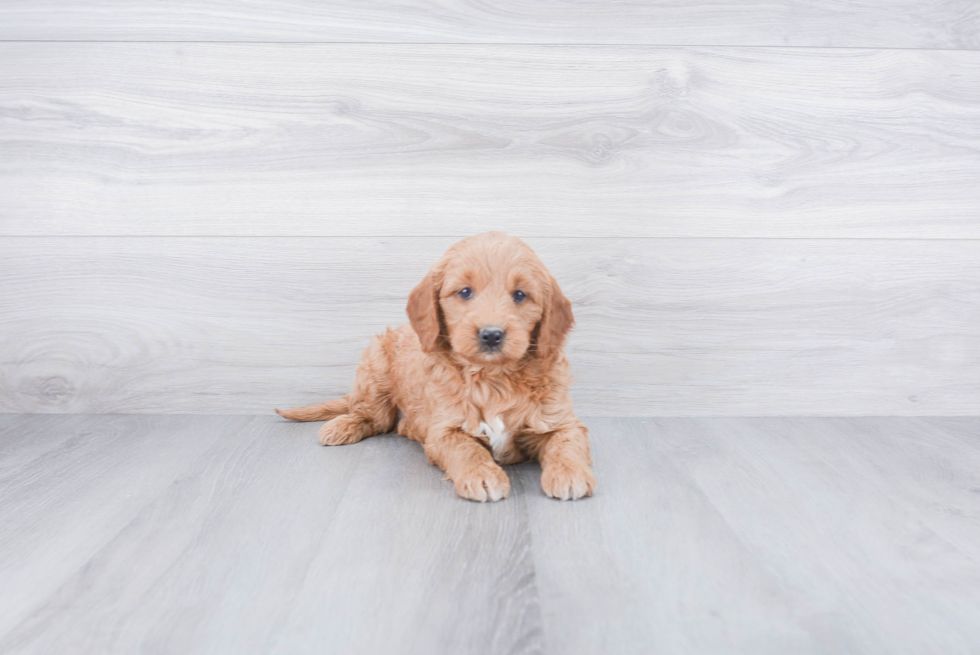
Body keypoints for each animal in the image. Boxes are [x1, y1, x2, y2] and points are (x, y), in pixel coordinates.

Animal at [278, 232, 596, 502]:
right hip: (375, 367)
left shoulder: (561, 418)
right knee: (373, 416)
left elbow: (567, 442)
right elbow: (465, 448)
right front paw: (481, 475)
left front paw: (570, 474)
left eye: (520, 295)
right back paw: (343, 425)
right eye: (465, 292)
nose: (491, 335)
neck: (493, 378)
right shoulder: (445, 428)